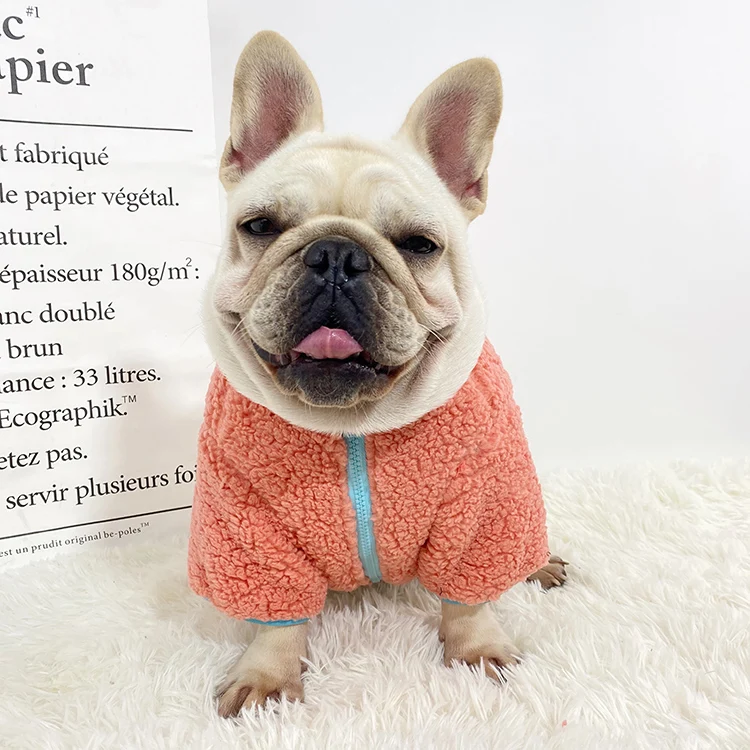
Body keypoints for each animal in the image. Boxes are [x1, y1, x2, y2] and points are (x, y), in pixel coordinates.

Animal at [190, 31, 566, 718]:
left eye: (419, 244)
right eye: (259, 226)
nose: (337, 254)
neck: (354, 428)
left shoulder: (482, 503)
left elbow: (469, 594)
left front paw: (477, 650)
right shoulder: (249, 529)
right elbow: (276, 617)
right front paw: (266, 677)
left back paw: (539, 562)